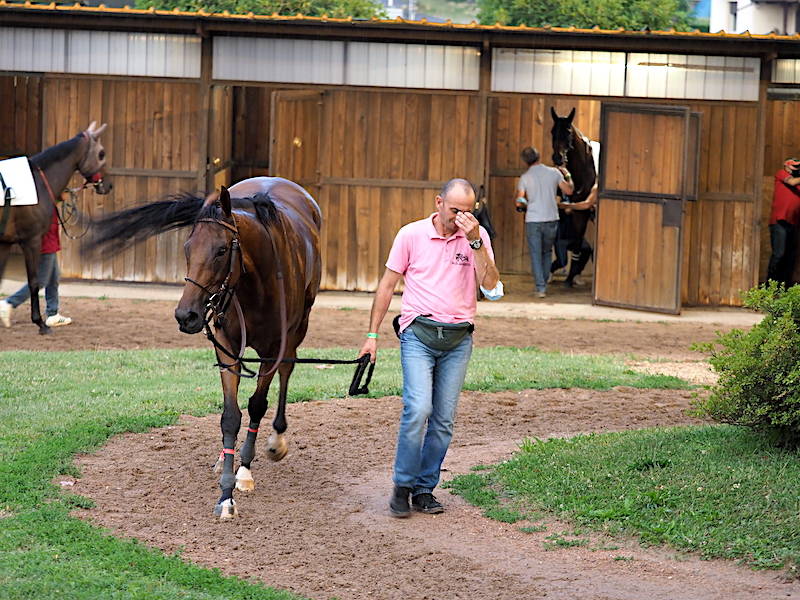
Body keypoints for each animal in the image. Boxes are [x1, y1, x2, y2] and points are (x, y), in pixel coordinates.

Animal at [0, 123, 111, 332]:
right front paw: (40, 323)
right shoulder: (31, 241)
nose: (108, 185)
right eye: (101, 153)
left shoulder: (5, 243)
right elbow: (34, 282)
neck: (37, 184)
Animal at [86, 177, 324, 520]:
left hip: (298, 329)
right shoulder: (226, 348)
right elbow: (230, 417)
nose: (186, 315)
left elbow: (257, 405)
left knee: (287, 370)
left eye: (222, 250)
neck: (257, 285)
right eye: (187, 248)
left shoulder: (275, 347)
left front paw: (244, 471)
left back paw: (276, 437)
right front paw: (225, 493)